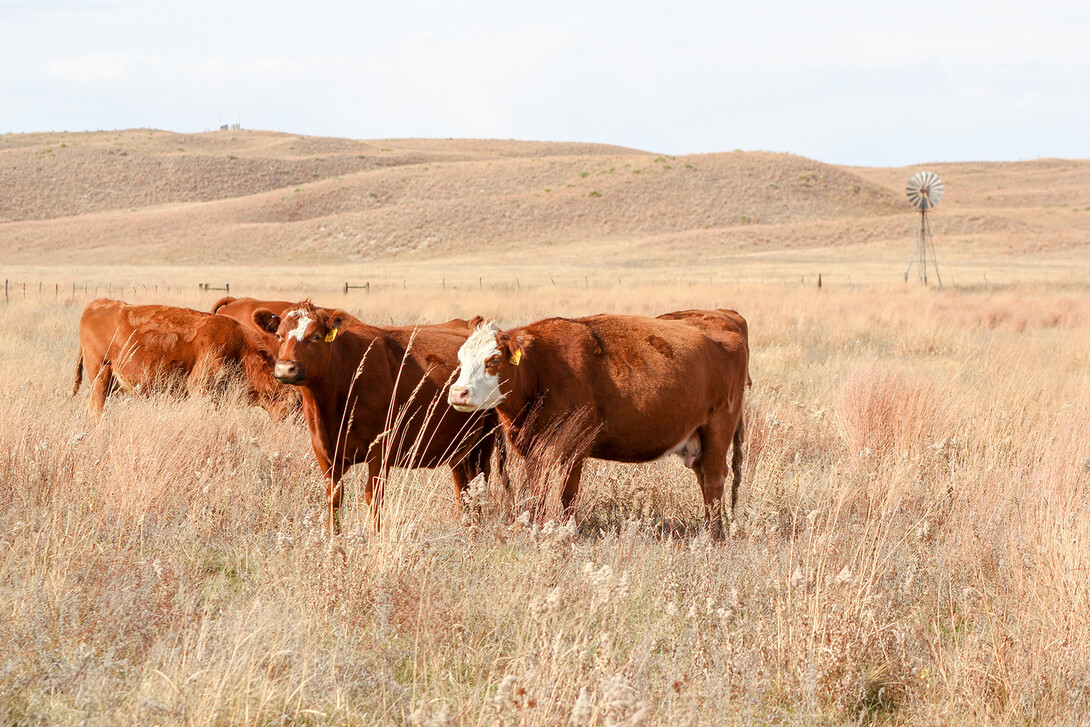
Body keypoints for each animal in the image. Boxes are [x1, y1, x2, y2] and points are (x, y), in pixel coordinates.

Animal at [73, 298, 295, 420]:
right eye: (295, 406)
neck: (240, 349)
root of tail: (97, 304)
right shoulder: (200, 387)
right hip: (101, 376)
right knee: (96, 408)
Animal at [259, 301, 497, 535]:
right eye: (279, 335)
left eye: (316, 336)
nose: (285, 368)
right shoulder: (323, 450)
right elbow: (334, 496)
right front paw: (334, 538)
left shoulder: (381, 448)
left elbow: (373, 495)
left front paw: (376, 536)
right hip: (459, 446)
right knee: (463, 487)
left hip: (484, 440)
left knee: (479, 483)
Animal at [448, 311, 749, 539]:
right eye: (460, 358)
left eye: (494, 359)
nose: (458, 393)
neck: (541, 367)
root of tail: (724, 318)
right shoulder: (533, 447)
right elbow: (538, 489)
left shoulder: (576, 444)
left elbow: (568, 492)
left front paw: (567, 531)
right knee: (705, 479)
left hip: (718, 428)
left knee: (713, 479)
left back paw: (714, 535)